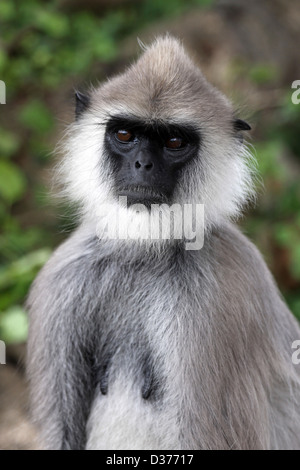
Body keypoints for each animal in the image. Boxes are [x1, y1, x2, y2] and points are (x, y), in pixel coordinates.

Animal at [27, 35, 300, 448]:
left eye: (173, 141)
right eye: (125, 135)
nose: (143, 165)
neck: (145, 251)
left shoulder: (216, 298)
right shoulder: (64, 277)